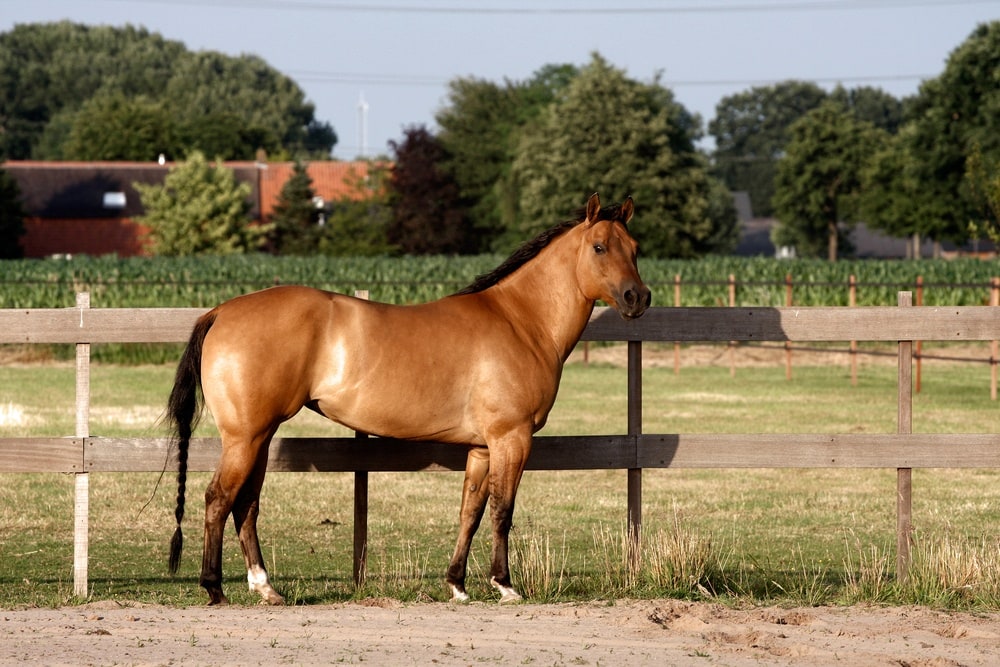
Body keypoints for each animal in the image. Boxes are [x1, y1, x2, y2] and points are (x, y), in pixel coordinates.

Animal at [168, 193, 652, 604]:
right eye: (599, 247)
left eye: (634, 247)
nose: (638, 298)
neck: (520, 320)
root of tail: (221, 311)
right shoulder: (510, 439)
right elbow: (502, 511)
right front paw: (504, 585)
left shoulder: (481, 448)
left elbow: (470, 511)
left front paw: (457, 585)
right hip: (245, 438)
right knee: (218, 498)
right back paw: (214, 587)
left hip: (261, 437)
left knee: (246, 504)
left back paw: (266, 588)